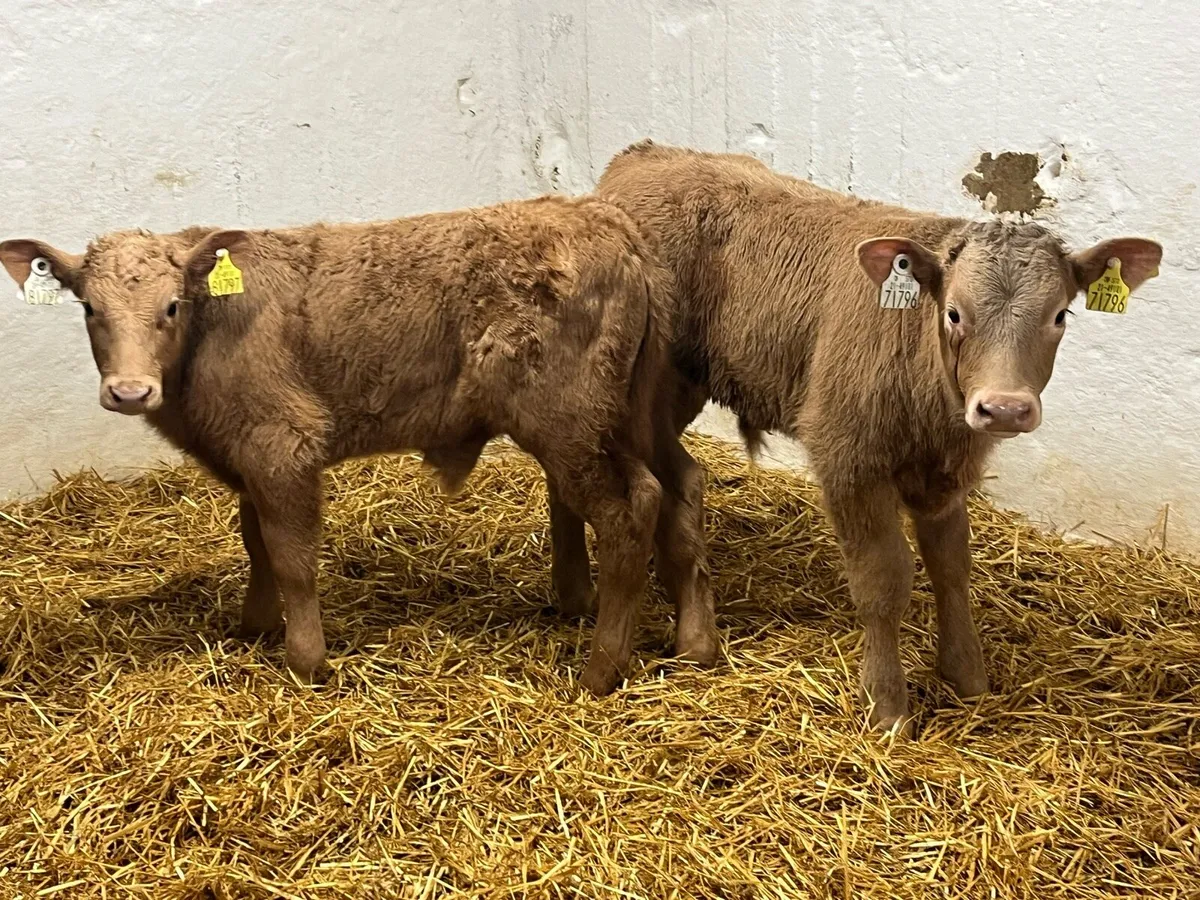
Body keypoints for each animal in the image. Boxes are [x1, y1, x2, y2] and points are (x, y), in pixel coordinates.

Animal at [0, 194, 717, 694]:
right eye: (89, 308)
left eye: (172, 305)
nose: (129, 391)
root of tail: (606, 221)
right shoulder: (247, 456)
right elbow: (255, 540)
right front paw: (254, 625)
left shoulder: (282, 443)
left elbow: (291, 556)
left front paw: (305, 661)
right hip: (633, 413)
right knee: (681, 487)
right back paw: (696, 643)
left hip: (569, 420)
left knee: (631, 510)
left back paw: (601, 670)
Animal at [589, 140, 1162, 733]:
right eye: (953, 313)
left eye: (1060, 315)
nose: (1004, 407)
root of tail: (643, 156)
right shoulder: (848, 460)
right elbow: (883, 580)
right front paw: (887, 706)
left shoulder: (946, 474)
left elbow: (952, 566)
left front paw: (967, 677)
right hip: (652, 391)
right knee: (673, 480)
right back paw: (689, 630)